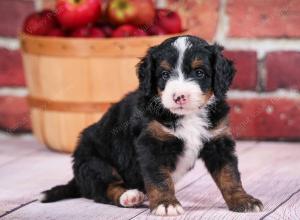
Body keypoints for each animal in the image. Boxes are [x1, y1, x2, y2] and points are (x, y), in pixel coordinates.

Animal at [41, 35, 262, 216]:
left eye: (199, 72)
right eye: (164, 74)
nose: (179, 96)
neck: (187, 116)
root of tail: (76, 177)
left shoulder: (218, 140)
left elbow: (229, 175)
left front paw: (243, 200)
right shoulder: (152, 144)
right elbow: (159, 178)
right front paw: (166, 204)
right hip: (94, 162)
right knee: (105, 188)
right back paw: (129, 196)